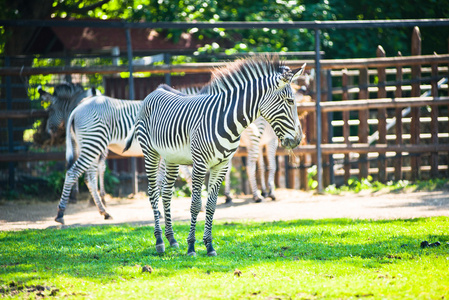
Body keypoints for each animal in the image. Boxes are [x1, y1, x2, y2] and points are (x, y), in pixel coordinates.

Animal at [123, 55, 304, 255]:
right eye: (290, 101)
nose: (298, 139)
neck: (227, 120)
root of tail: (156, 90)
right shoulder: (200, 164)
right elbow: (195, 204)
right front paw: (191, 246)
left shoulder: (222, 165)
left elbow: (211, 205)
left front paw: (209, 245)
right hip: (150, 152)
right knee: (153, 192)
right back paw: (159, 241)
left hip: (171, 158)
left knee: (167, 193)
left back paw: (171, 239)